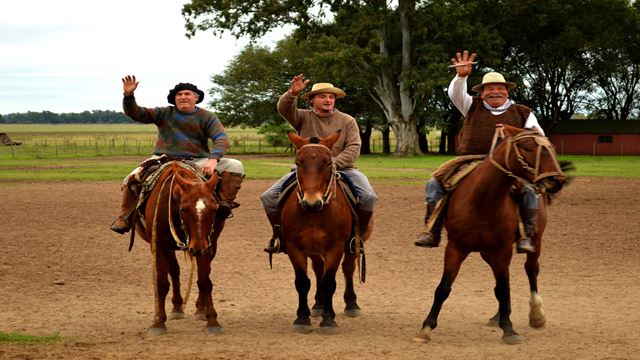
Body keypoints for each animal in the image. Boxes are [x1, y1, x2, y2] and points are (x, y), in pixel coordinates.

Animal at [135, 160, 225, 334]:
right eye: (184, 208)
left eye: (214, 208)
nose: (197, 248)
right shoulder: (159, 246)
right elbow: (162, 283)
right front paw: (158, 322)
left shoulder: (206, 244)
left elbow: (204, 281)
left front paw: (212, 321)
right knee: (174, 271)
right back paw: (177, 307)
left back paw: (200, 310)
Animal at [282, 132, 368, 334]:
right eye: (298, 162)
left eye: (328, 163)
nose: (311, 203)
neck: (315, 213)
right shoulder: (294, 248)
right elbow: (302, 282)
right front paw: (302, 318)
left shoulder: (335, 248)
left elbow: (329, 282)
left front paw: (328, 320)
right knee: (318, 269)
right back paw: (318, 305)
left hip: (352, 246)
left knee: (348, 269)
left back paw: (351, 304)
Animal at [416, 125, 564, 344]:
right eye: (527, 147)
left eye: (552, 147)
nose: (556, 180)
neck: (483, 201)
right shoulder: (456, 247)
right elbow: (444, 287)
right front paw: (426, 327)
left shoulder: (502, 250)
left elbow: (504, 288)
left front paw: (509, 329)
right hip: (487, 253)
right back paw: (498, 316)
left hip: (536, 242)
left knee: (531, 270)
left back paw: (536, 314)